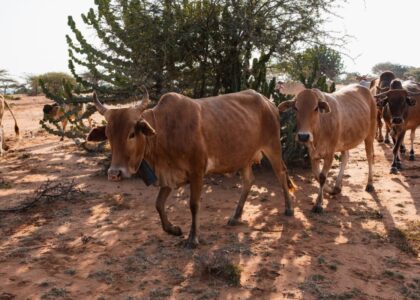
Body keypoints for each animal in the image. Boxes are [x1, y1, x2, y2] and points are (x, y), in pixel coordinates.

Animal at [87, 88, 296, 248]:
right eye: (108, 135)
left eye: (131, 133)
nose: (114, 173)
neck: (164, 131)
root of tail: (269, 103)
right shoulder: (169, 176)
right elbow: (158, 204)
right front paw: (173, 229)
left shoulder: (197, 172)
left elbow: (193, 205)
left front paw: (193, 238)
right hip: (243, 157)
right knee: (249, 181)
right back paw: (235, 217)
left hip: (273, 147)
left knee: (281, 174)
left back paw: (289, 209)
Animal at [278, 84, 374, 213]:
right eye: (296, 108)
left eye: (316, 108)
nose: (303, 136)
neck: (320, 127)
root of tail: (364, 88)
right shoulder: (313, 154)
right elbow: (317, 176)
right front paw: (330, 190)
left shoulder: (330, 153)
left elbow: (323, 177)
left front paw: (318, 204)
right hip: (344, 141)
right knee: (346, 157)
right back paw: (337, 186)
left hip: (370, 134)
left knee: (369, 156)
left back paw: (370, 184)